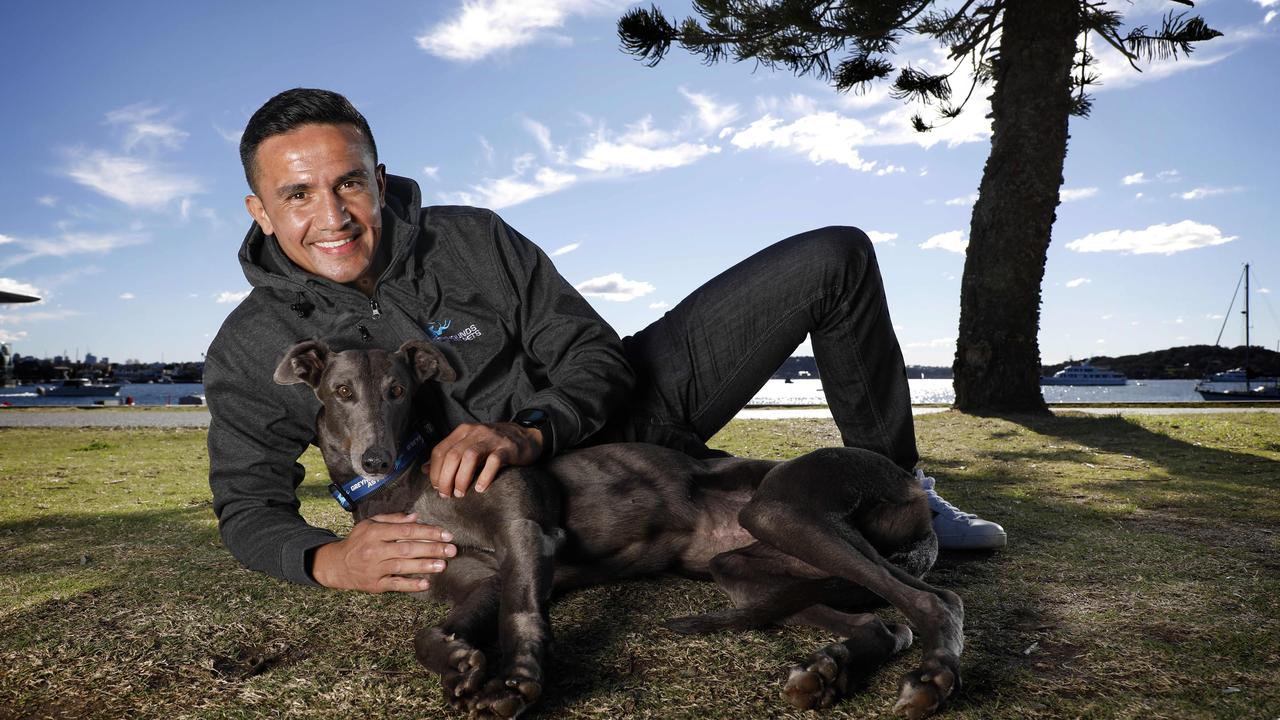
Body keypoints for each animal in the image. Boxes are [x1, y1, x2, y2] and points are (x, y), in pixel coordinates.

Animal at [277, 338, 962, 712]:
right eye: (341, 391)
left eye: (398, 390)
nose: (374, 459)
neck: (412, 487)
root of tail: (913, 486)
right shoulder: (475, 581)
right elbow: (434, 631)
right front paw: (459, 663)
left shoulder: (527, 535)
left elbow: (522, 613)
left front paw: (516, 681)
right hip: (747, 569)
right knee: (882, 623)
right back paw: (826, 671)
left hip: (783, 507)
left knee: (936, 601)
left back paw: (932, 679)